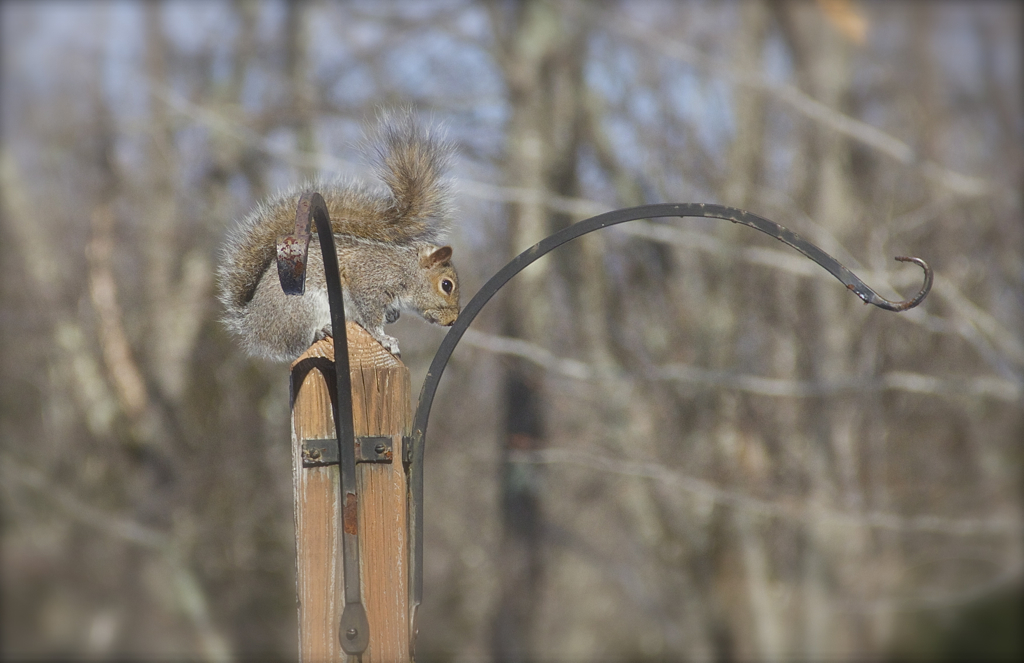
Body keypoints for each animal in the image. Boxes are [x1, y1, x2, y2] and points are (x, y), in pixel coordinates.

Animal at [219, 110, 460, 360]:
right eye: (447, 285)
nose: (453, 321)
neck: (405, 269)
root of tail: (252, 324)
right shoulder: (369, 281)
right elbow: (371, 318)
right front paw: (385, 338)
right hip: (302, 308)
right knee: (297, 341)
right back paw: (321, 331)